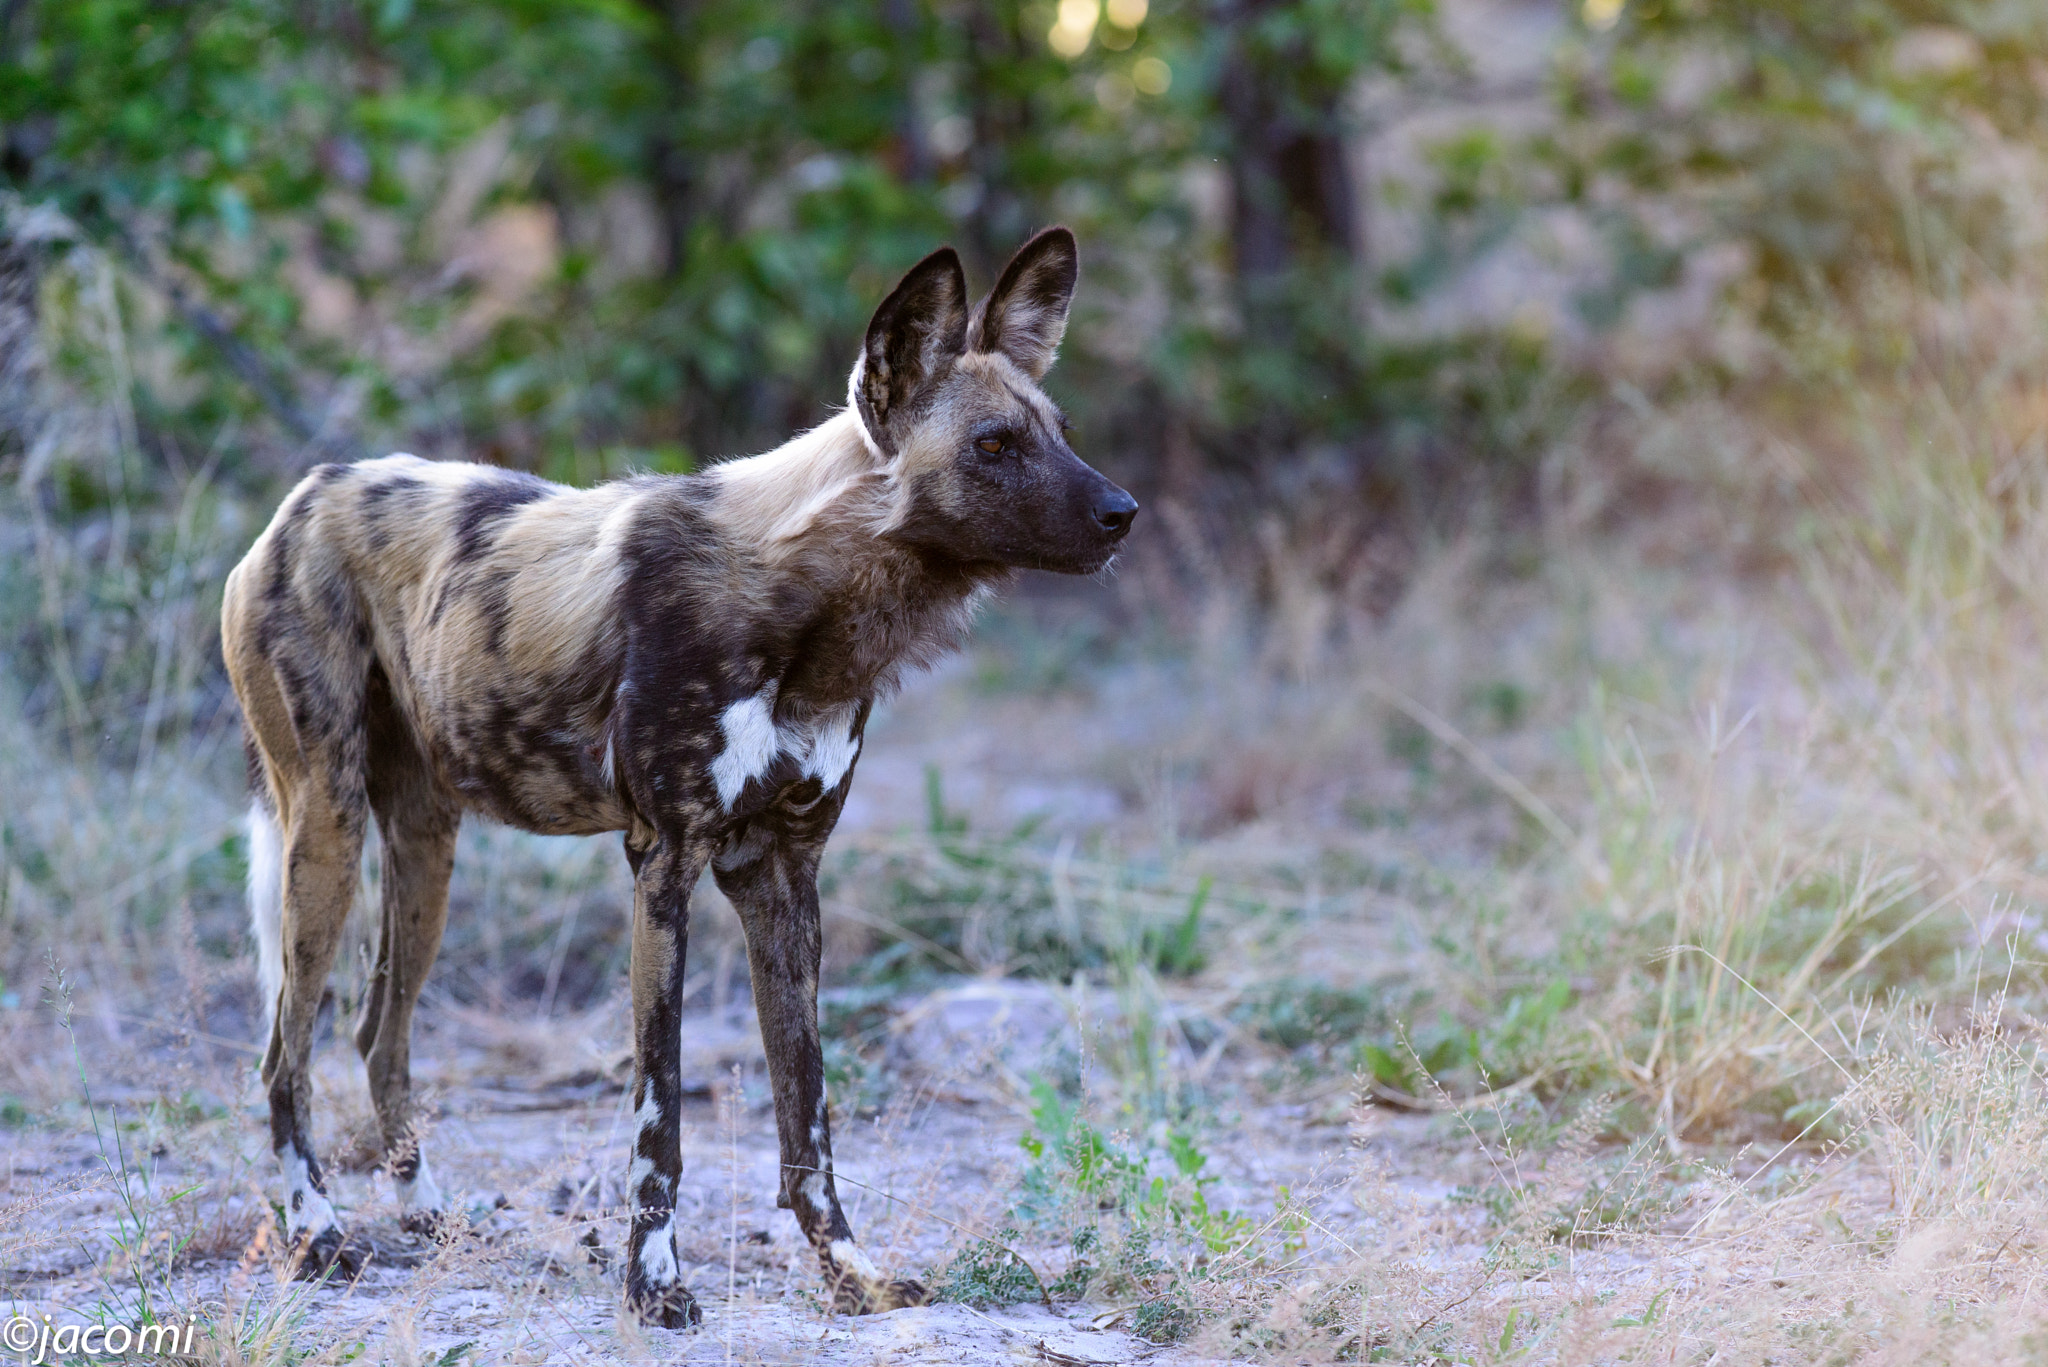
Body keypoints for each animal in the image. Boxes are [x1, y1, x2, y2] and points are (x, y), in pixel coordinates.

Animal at [224, 227, 1138, 1328]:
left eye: (1059, 431)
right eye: (992, 446)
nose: (1122, 511)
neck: (807, 615)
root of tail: (306, 491)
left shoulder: (783, 876)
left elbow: (808, 1121)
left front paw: (851, 1273)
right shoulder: (664, 865)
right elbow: (658, 1119)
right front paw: (654, 1285)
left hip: (426, 853)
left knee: (376, 1035)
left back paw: (428, 1218)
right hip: (326, 830)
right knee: (283, 1055)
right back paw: (316, 1231)